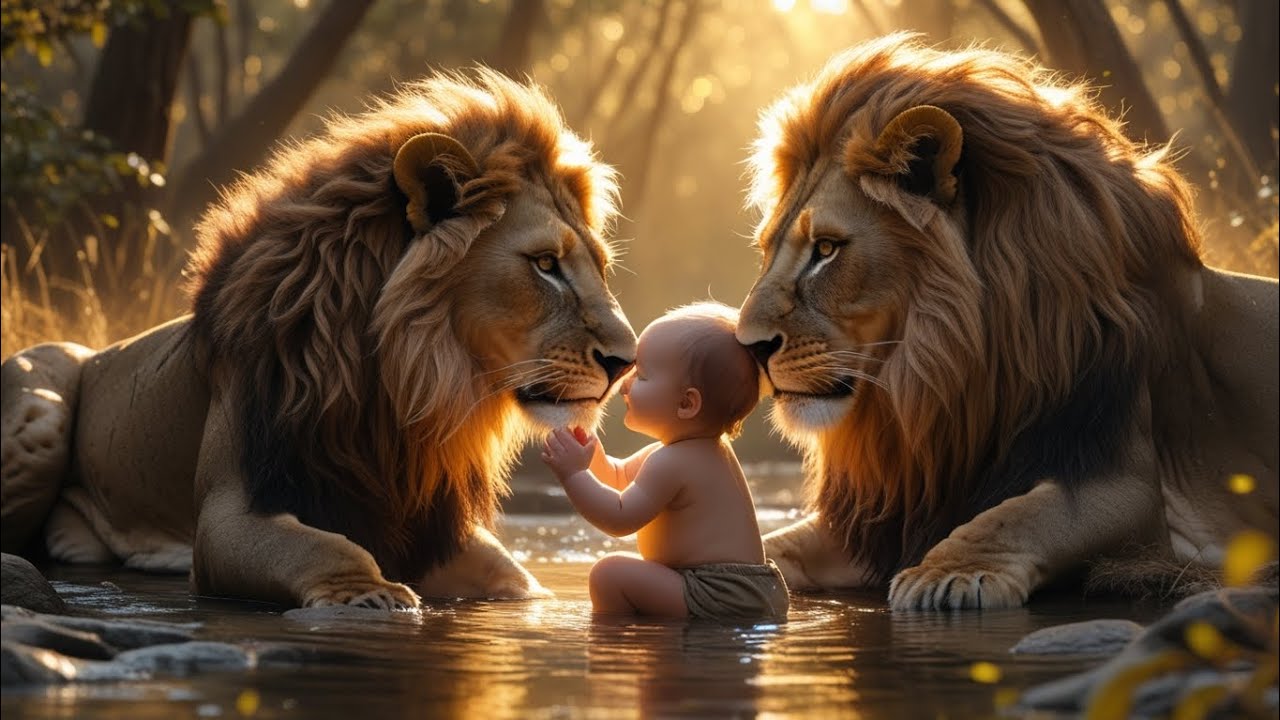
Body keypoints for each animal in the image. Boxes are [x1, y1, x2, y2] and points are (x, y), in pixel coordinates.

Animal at [0, 69, 637, 609]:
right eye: (546, 264)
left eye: (600, 268)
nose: (626, 363)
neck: (395, 392)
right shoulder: (230, 513)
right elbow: (327, 546)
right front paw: (373, 595)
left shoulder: (428, 522)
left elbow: (514, 576)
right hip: (44, 412)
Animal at [736, 35, 1278, 610]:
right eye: (768, 250)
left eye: (826, 249)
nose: (747, 346)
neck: (948, 376)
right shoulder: (893, 512)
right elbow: (775, 542)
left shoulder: (1131, 485)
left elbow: (1020, 515)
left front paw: (946, 574)